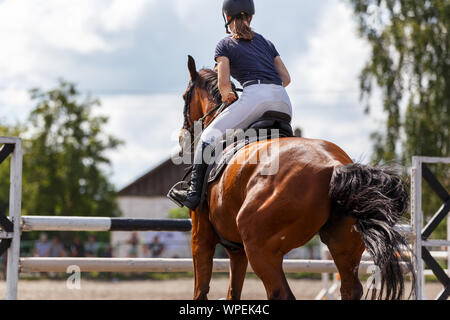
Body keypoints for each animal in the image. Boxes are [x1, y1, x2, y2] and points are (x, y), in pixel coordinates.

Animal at [179, 55, 414, 300]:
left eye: (185, 96)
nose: (181, 137)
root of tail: (334, 166)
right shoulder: (236, 249)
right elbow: (233, 292)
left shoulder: (201, 237)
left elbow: (201, 290)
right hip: (342, 243)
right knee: (350, 289)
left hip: (260, 248)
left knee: (280, 292)